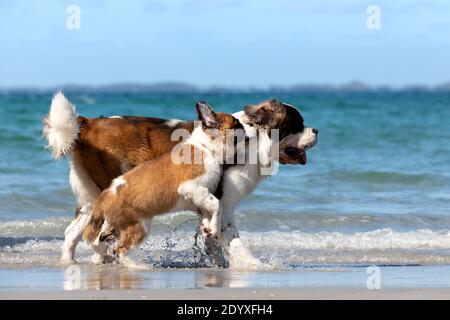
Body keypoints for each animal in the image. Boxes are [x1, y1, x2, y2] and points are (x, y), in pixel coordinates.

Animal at [83, 102, 246, 268]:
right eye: (236, 123)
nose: (245, 126)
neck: (205, 147)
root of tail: (106, 195)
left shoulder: (201, 198)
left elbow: (210, 211)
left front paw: (209, 227)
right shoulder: (191, 187)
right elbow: (217, 205)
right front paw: (214, 229)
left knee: (104, 240)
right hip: (139, 228)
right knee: (120, 250)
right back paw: (137, 266)